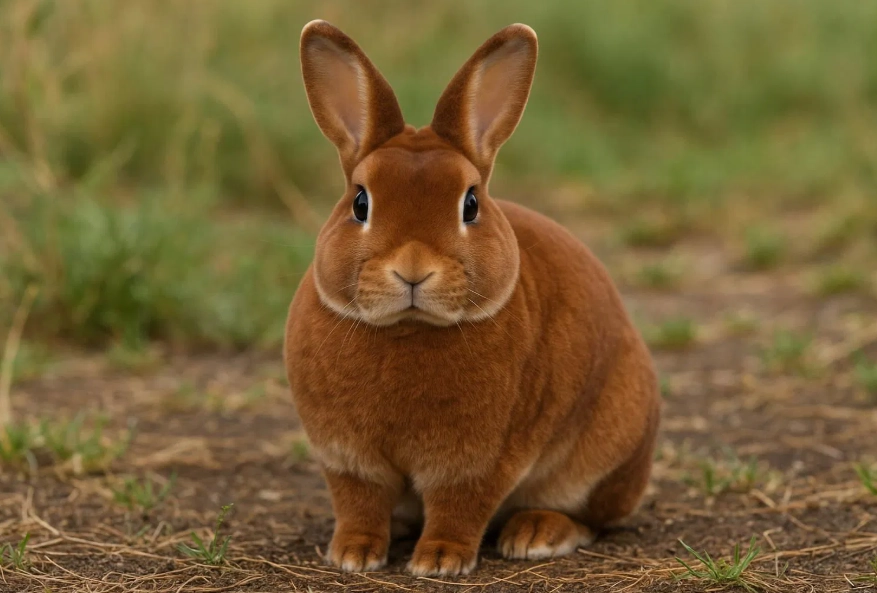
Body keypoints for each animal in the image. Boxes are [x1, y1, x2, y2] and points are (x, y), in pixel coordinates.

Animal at [284, 20, 661, 577]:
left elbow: (458, 506)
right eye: (360, 202)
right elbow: (359, 502)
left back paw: (536, 533)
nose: (413, 269)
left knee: (593, 518)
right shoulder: (347, 460)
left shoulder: (479, 461)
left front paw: (439, 560)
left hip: (606, 454)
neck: (408, 328)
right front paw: (352, 553)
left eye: (470, 204)